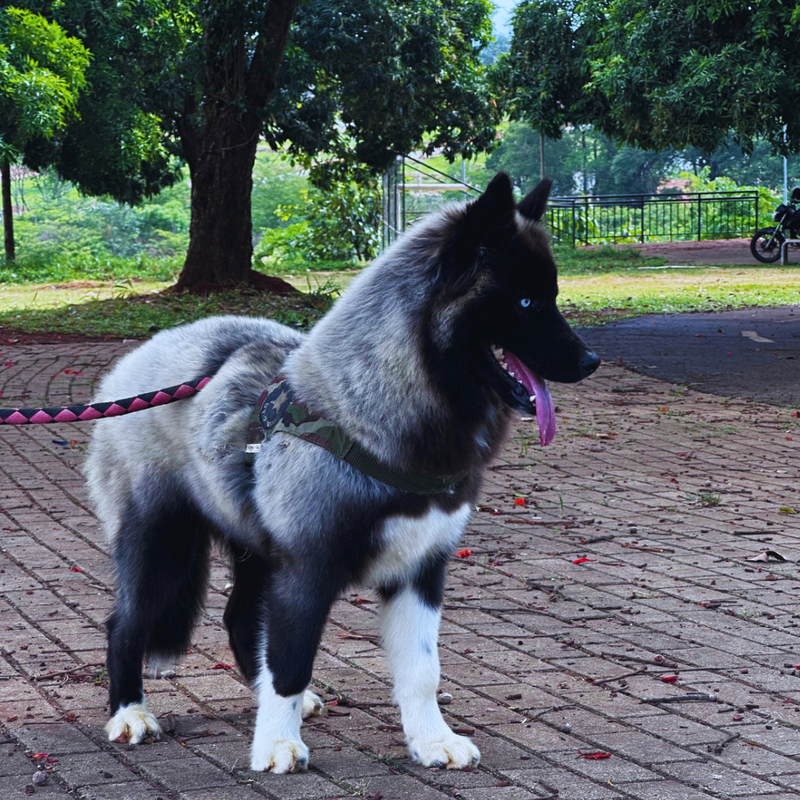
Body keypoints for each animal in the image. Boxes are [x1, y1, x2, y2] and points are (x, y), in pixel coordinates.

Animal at [84, 172, 596, 772]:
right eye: (525, 301)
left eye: (549, 298)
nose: (590, 362)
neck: (368, 412)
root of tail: (137, 361)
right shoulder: (305, 570)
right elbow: (291, 659)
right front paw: (277, 743)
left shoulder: (419, 571)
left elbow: (422, 671)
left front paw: (431, 739)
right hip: (163, 544)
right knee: (126, 624)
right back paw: (130, 713)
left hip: (254, 553)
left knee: (239, 618)